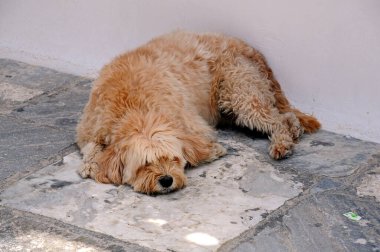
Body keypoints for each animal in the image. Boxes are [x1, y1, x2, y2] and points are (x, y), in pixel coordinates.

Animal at [75, 30, 320, 194]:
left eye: (173, 158)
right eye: (144, 164)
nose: (166, 180)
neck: (133, 109)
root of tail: (249, 48)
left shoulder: (194, 127)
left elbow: (197, 147)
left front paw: (211, 151)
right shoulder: (89, 130)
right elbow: (91, 149)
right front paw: (91, 164)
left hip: (240, 95)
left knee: (279, 119)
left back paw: (282, 143)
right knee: (287, 117)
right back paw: (292, 133)